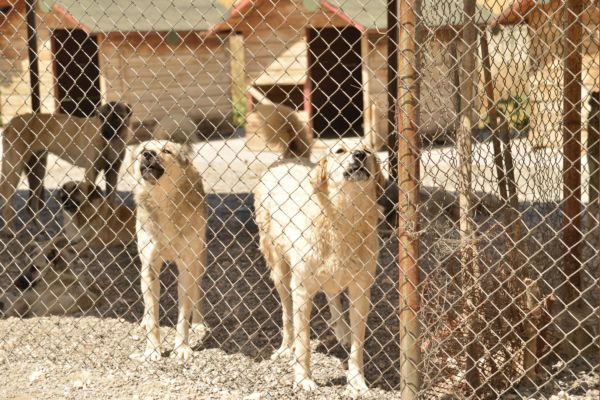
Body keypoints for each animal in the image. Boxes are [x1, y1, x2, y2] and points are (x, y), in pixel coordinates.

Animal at [0, 101, 131, 233]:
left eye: (116, 116)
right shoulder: (91, 172)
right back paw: (9, 230)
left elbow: (111, 201)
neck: (112, 142)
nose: (104, 133)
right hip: (15, 170)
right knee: (7, 200)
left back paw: (41, 229)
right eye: (101, 117)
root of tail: (11, 122)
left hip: (37, 171)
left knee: (31, 205)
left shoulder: (112, 173)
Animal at [132, 141, 207, 362]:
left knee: (198, 291)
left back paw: (198, 323)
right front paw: (152, 350)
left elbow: (183, 315)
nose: (147, 154)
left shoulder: (187, 268)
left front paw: (181, 348)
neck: (162, 202)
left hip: (200, 260)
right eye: (143, 150)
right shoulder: (149, 268)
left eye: (166, 151)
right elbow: (153, 317)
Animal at [254, 146, 384, 394]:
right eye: (340, 150)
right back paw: (286, 347)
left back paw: (341, 332)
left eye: (367, 149)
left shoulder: (361, 290)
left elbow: (358, 345)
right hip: (280, 272)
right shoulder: (302, 290)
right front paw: (303, 379)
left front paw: (357, 382)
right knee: (286, 313)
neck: (344, 220)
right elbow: (304, 342)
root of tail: (285, 160)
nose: (360, 154)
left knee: (333, 297)